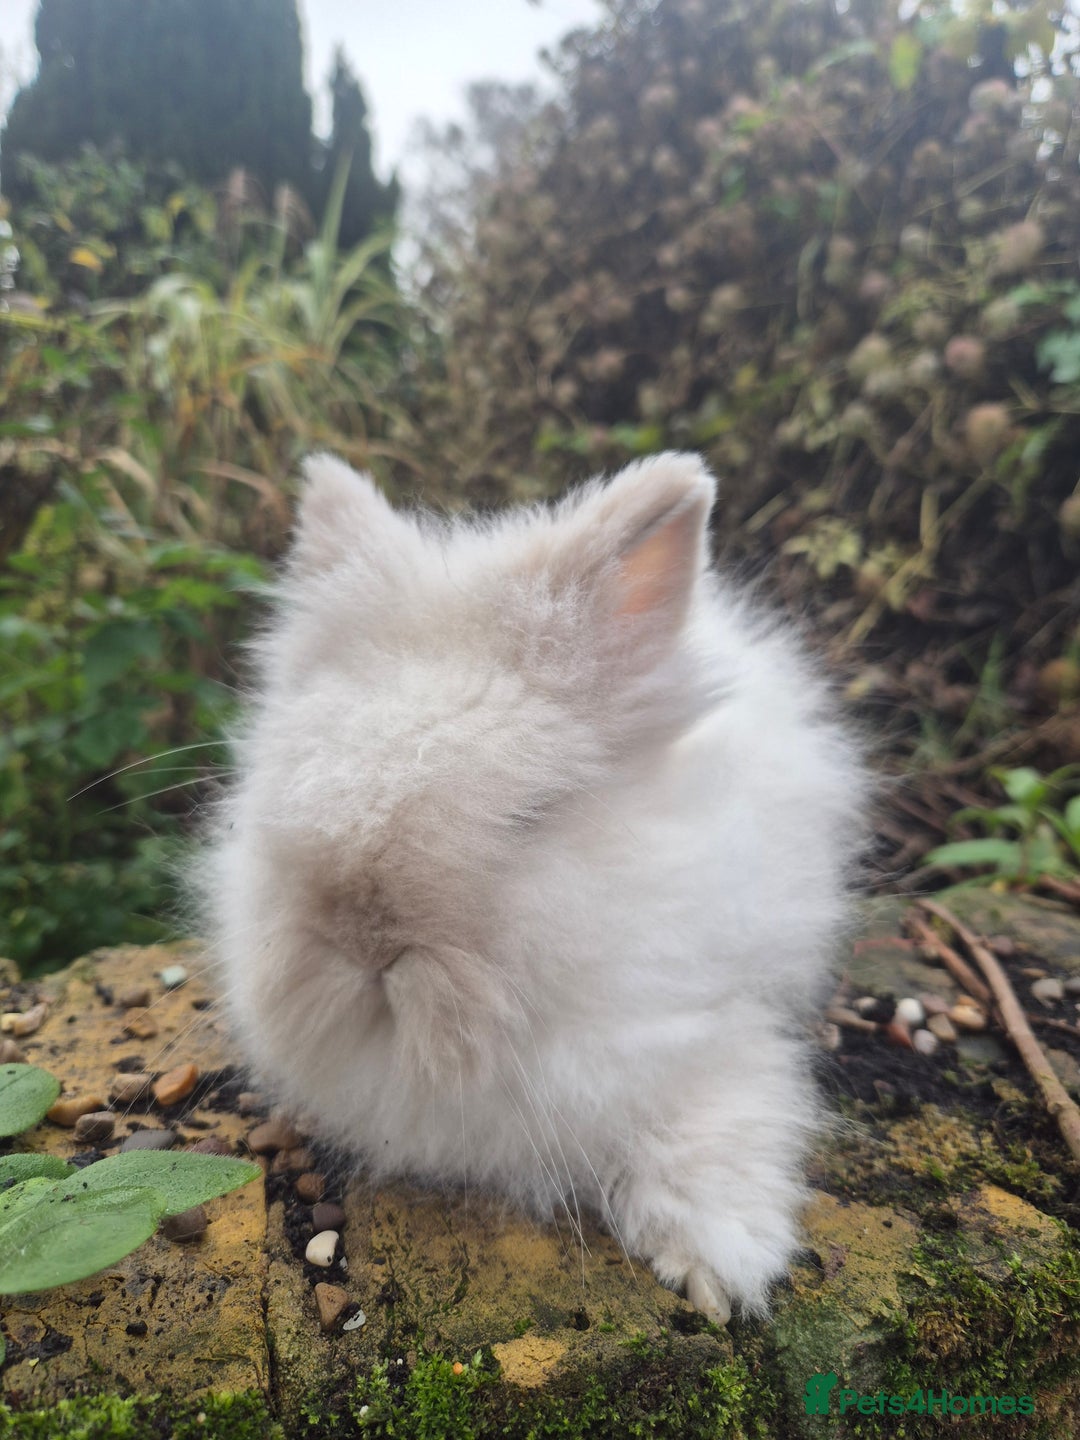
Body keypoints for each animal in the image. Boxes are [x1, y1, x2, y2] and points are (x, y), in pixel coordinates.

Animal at [200, 450, 868, 1324]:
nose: (365, 940)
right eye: (285, 787)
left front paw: (721, 1266)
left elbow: (712, 1129)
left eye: (532, 815)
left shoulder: (715, 1027)